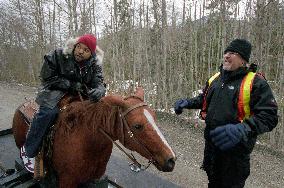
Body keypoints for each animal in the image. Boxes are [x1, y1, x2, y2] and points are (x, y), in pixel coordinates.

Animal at [12, 87, 176, 187]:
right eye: (137, 125)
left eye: (154, 117)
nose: (171, 160)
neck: (86, 143)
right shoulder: (67, 181)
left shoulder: (96, 178)